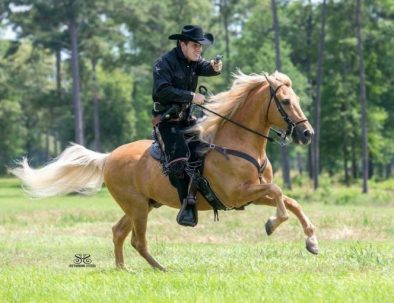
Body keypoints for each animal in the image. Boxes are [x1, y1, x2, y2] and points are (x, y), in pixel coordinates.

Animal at [8, 72, 318, 274]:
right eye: (285, 101)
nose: (307, 134)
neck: (237, 143)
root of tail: (108, 158)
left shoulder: (252, 195)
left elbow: (291, 201)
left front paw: (311, 241)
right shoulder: (238, 195)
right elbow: (279, 195)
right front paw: (273, 223)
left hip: (142, 205)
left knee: (118, 232)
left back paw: (123, 270)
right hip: (137, 208)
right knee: (137, 240)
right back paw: (160, 268)